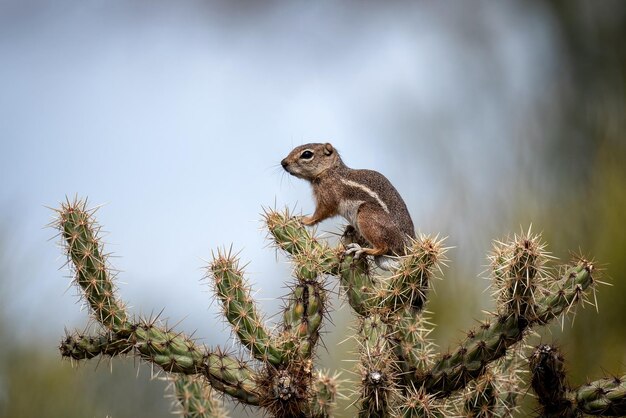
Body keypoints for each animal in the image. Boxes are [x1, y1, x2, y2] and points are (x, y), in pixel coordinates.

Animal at [280, 143, 412, 268]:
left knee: (383, 247)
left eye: (307, 154)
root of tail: (407, 248)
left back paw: (360, 249)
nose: (283, 162)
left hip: (366, 215)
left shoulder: (327, 197)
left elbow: (320, 213)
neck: (330, 170)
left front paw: (304, 220)